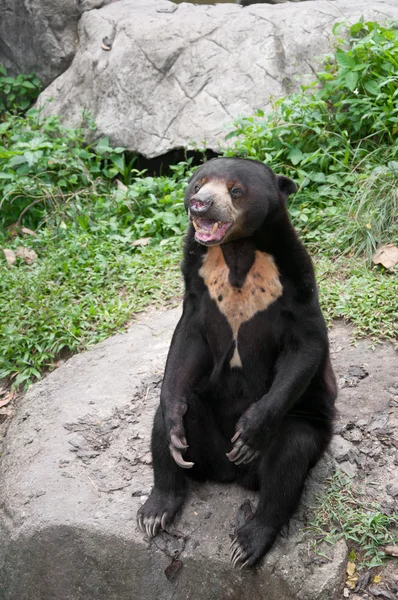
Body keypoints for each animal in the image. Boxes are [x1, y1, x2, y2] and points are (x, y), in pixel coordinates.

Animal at [137, 157, 336, 568]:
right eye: (198, 183)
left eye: (236, 190)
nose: (199, 205)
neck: (237, 250)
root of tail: (229, 474)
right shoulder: (198, 285)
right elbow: (186, 342)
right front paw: (174, 413)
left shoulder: (295, 281)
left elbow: (306, 346)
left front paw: (249, 431)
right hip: (201, 442)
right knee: (165, 427)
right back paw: (156, 510)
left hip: (304, 426)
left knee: (288, 460)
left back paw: (248, 541)